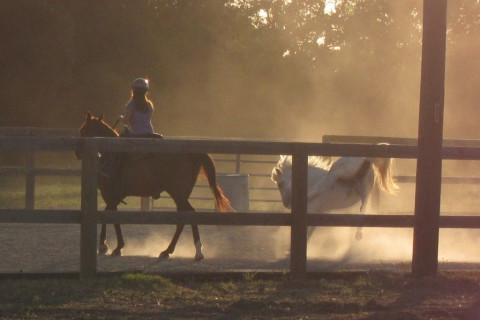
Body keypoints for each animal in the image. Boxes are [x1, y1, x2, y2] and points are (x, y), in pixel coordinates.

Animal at [76, 112, 233, 260]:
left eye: (83, 130)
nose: (77, 154)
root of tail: (192, 154)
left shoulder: (109, 193)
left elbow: (110, 216)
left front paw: (113, 246)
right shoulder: (112, 196)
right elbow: (107, 213)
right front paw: (106, 245)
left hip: (178, 193)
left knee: (190, 214)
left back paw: (197, 251)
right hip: (181, 195)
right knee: (182, 219)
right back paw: (168, 251)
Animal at [270, 154, 398, 240]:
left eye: (280, 184)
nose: (286, 204)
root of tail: (366, 160)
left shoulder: (312, 209)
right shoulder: (319, 212)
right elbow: (311, 230)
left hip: (338, 170)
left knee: (329, 181)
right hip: (364, 188)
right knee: (363, 207)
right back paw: (358, 233)